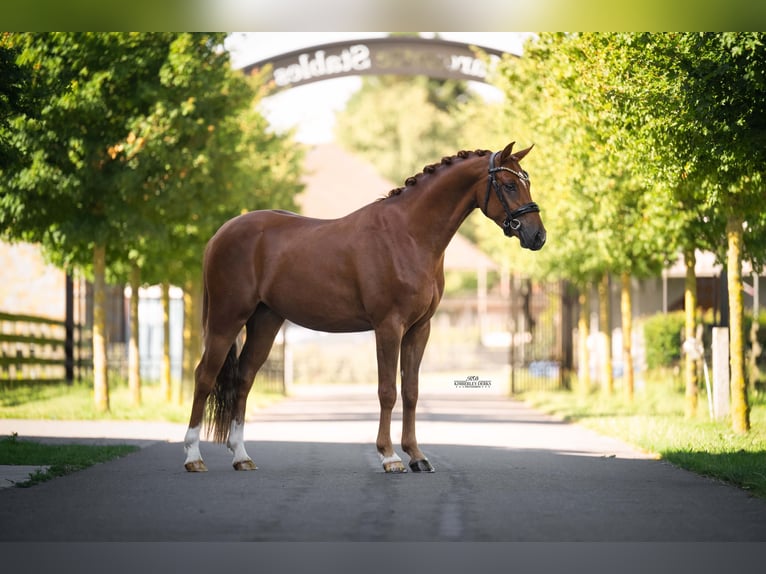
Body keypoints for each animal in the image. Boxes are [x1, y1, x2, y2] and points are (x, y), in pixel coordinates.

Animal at [183, 141, 546, 474]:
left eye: (527, 180)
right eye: (509, 184)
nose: (538, 236)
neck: (408, 234)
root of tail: (220, 235)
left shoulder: (419, 329)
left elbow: (411, 391)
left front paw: (417, 455)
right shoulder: (388, 326)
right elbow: (387, 391)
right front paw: (389, 456)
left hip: (265, 321)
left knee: (243, 379)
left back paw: (241, 456)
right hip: (225, 319)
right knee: (204, 377)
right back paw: (193, 457)